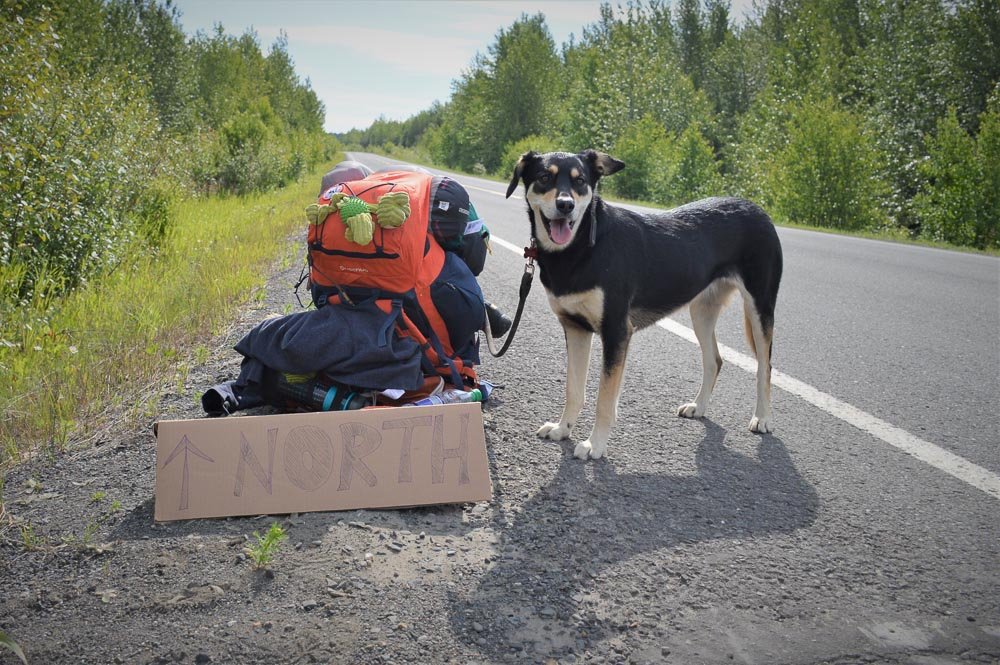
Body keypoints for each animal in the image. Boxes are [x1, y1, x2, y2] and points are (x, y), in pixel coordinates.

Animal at [508, 149, 780, 462]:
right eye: (544, 177)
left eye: (580, 182)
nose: (566, 205)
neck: (584, 246)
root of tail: (758, 210)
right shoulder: (576, 328)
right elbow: (574, 390)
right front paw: (562, 429)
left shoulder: (616, 332)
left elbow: (604, 400)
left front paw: (594, 445)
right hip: (702, 311)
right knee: (714, 360)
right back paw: (698, 407)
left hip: (760, 308)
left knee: (764, 367)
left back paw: (762, 418)